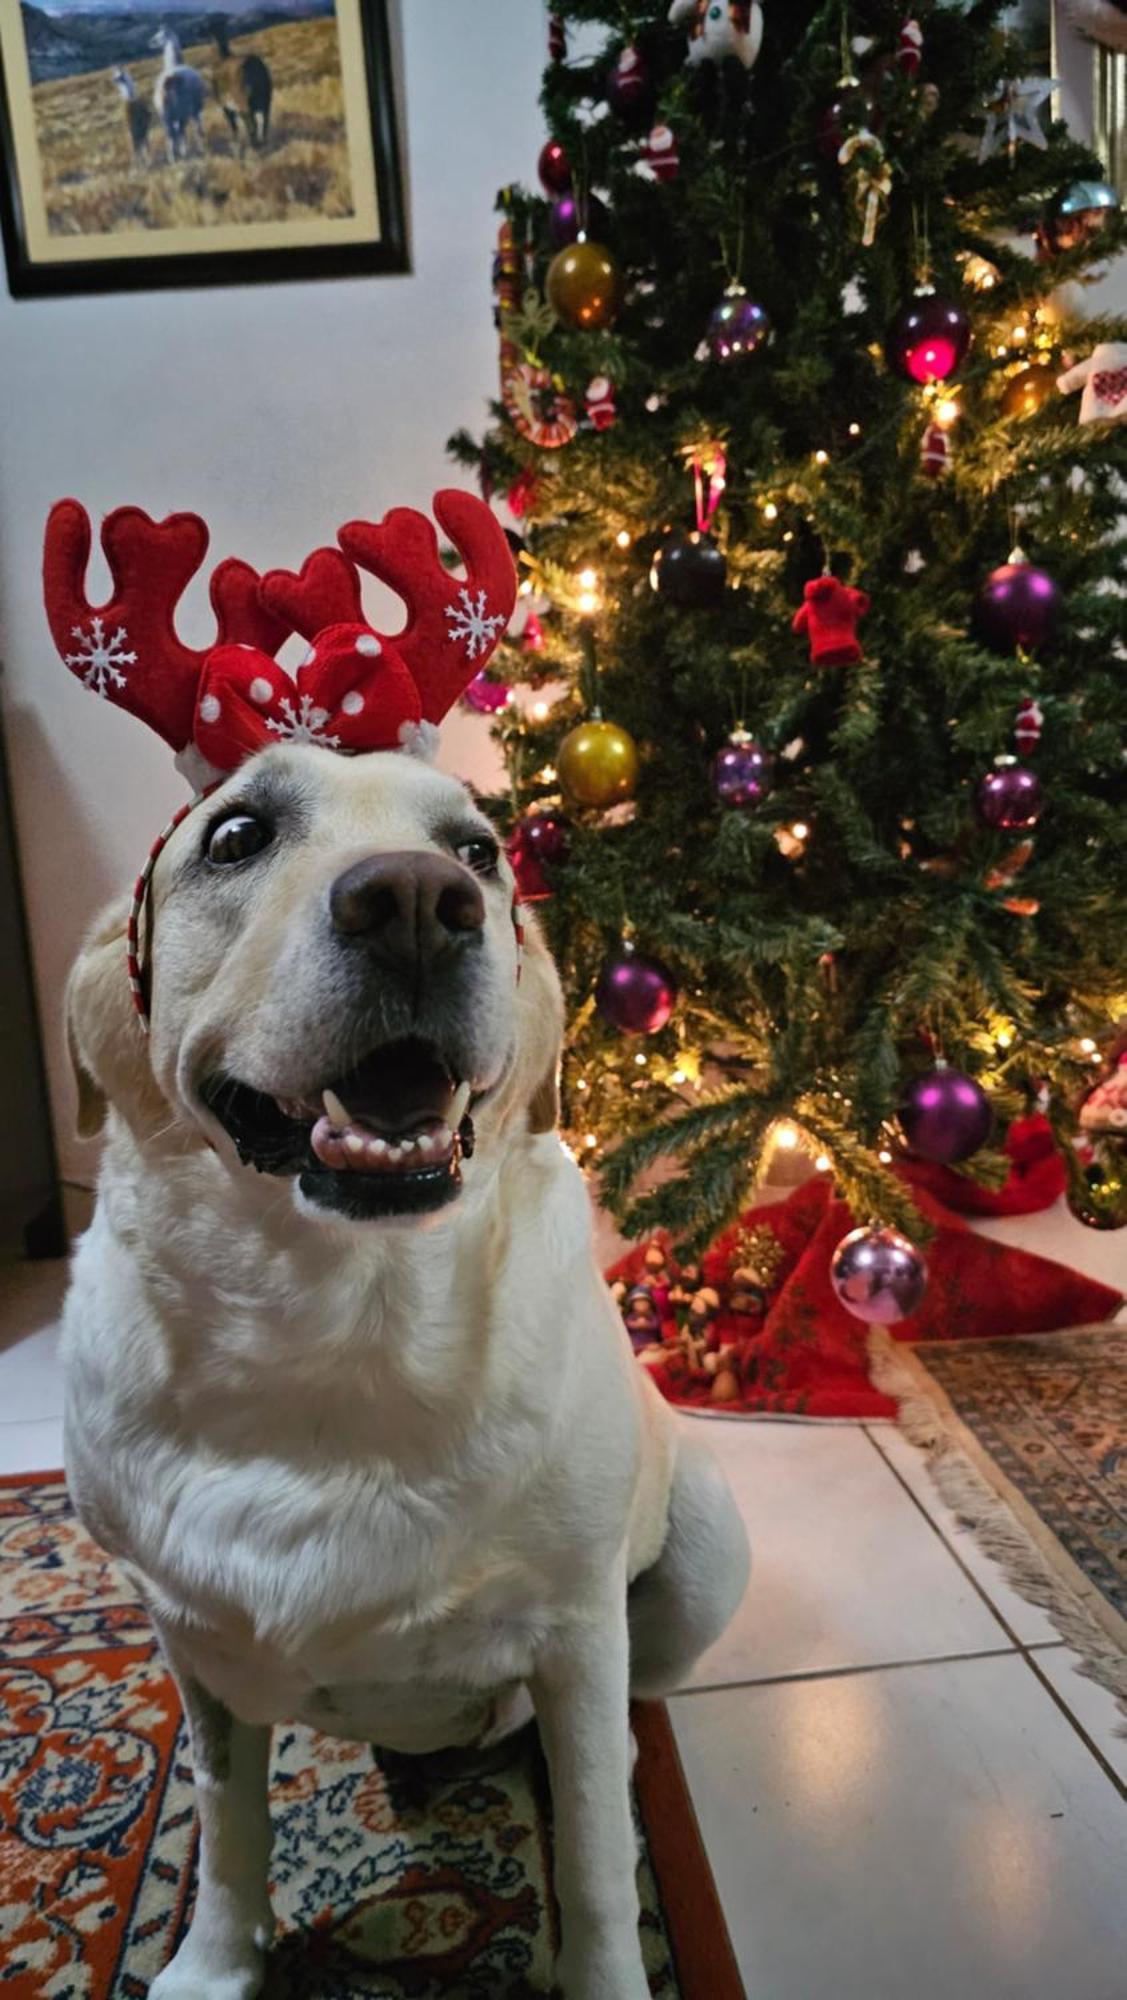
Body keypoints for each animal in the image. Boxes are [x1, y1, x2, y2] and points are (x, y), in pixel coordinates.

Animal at [61, 744, 747, 1992]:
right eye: (235, 835)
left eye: (477, 848)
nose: (423, 903)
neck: (339, 1326)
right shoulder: (188, 1635)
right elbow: (224, 1813)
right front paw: (215, 1957)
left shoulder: (578, 1630)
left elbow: (589, 1856)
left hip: (706, 1550)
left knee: (622, 1726)